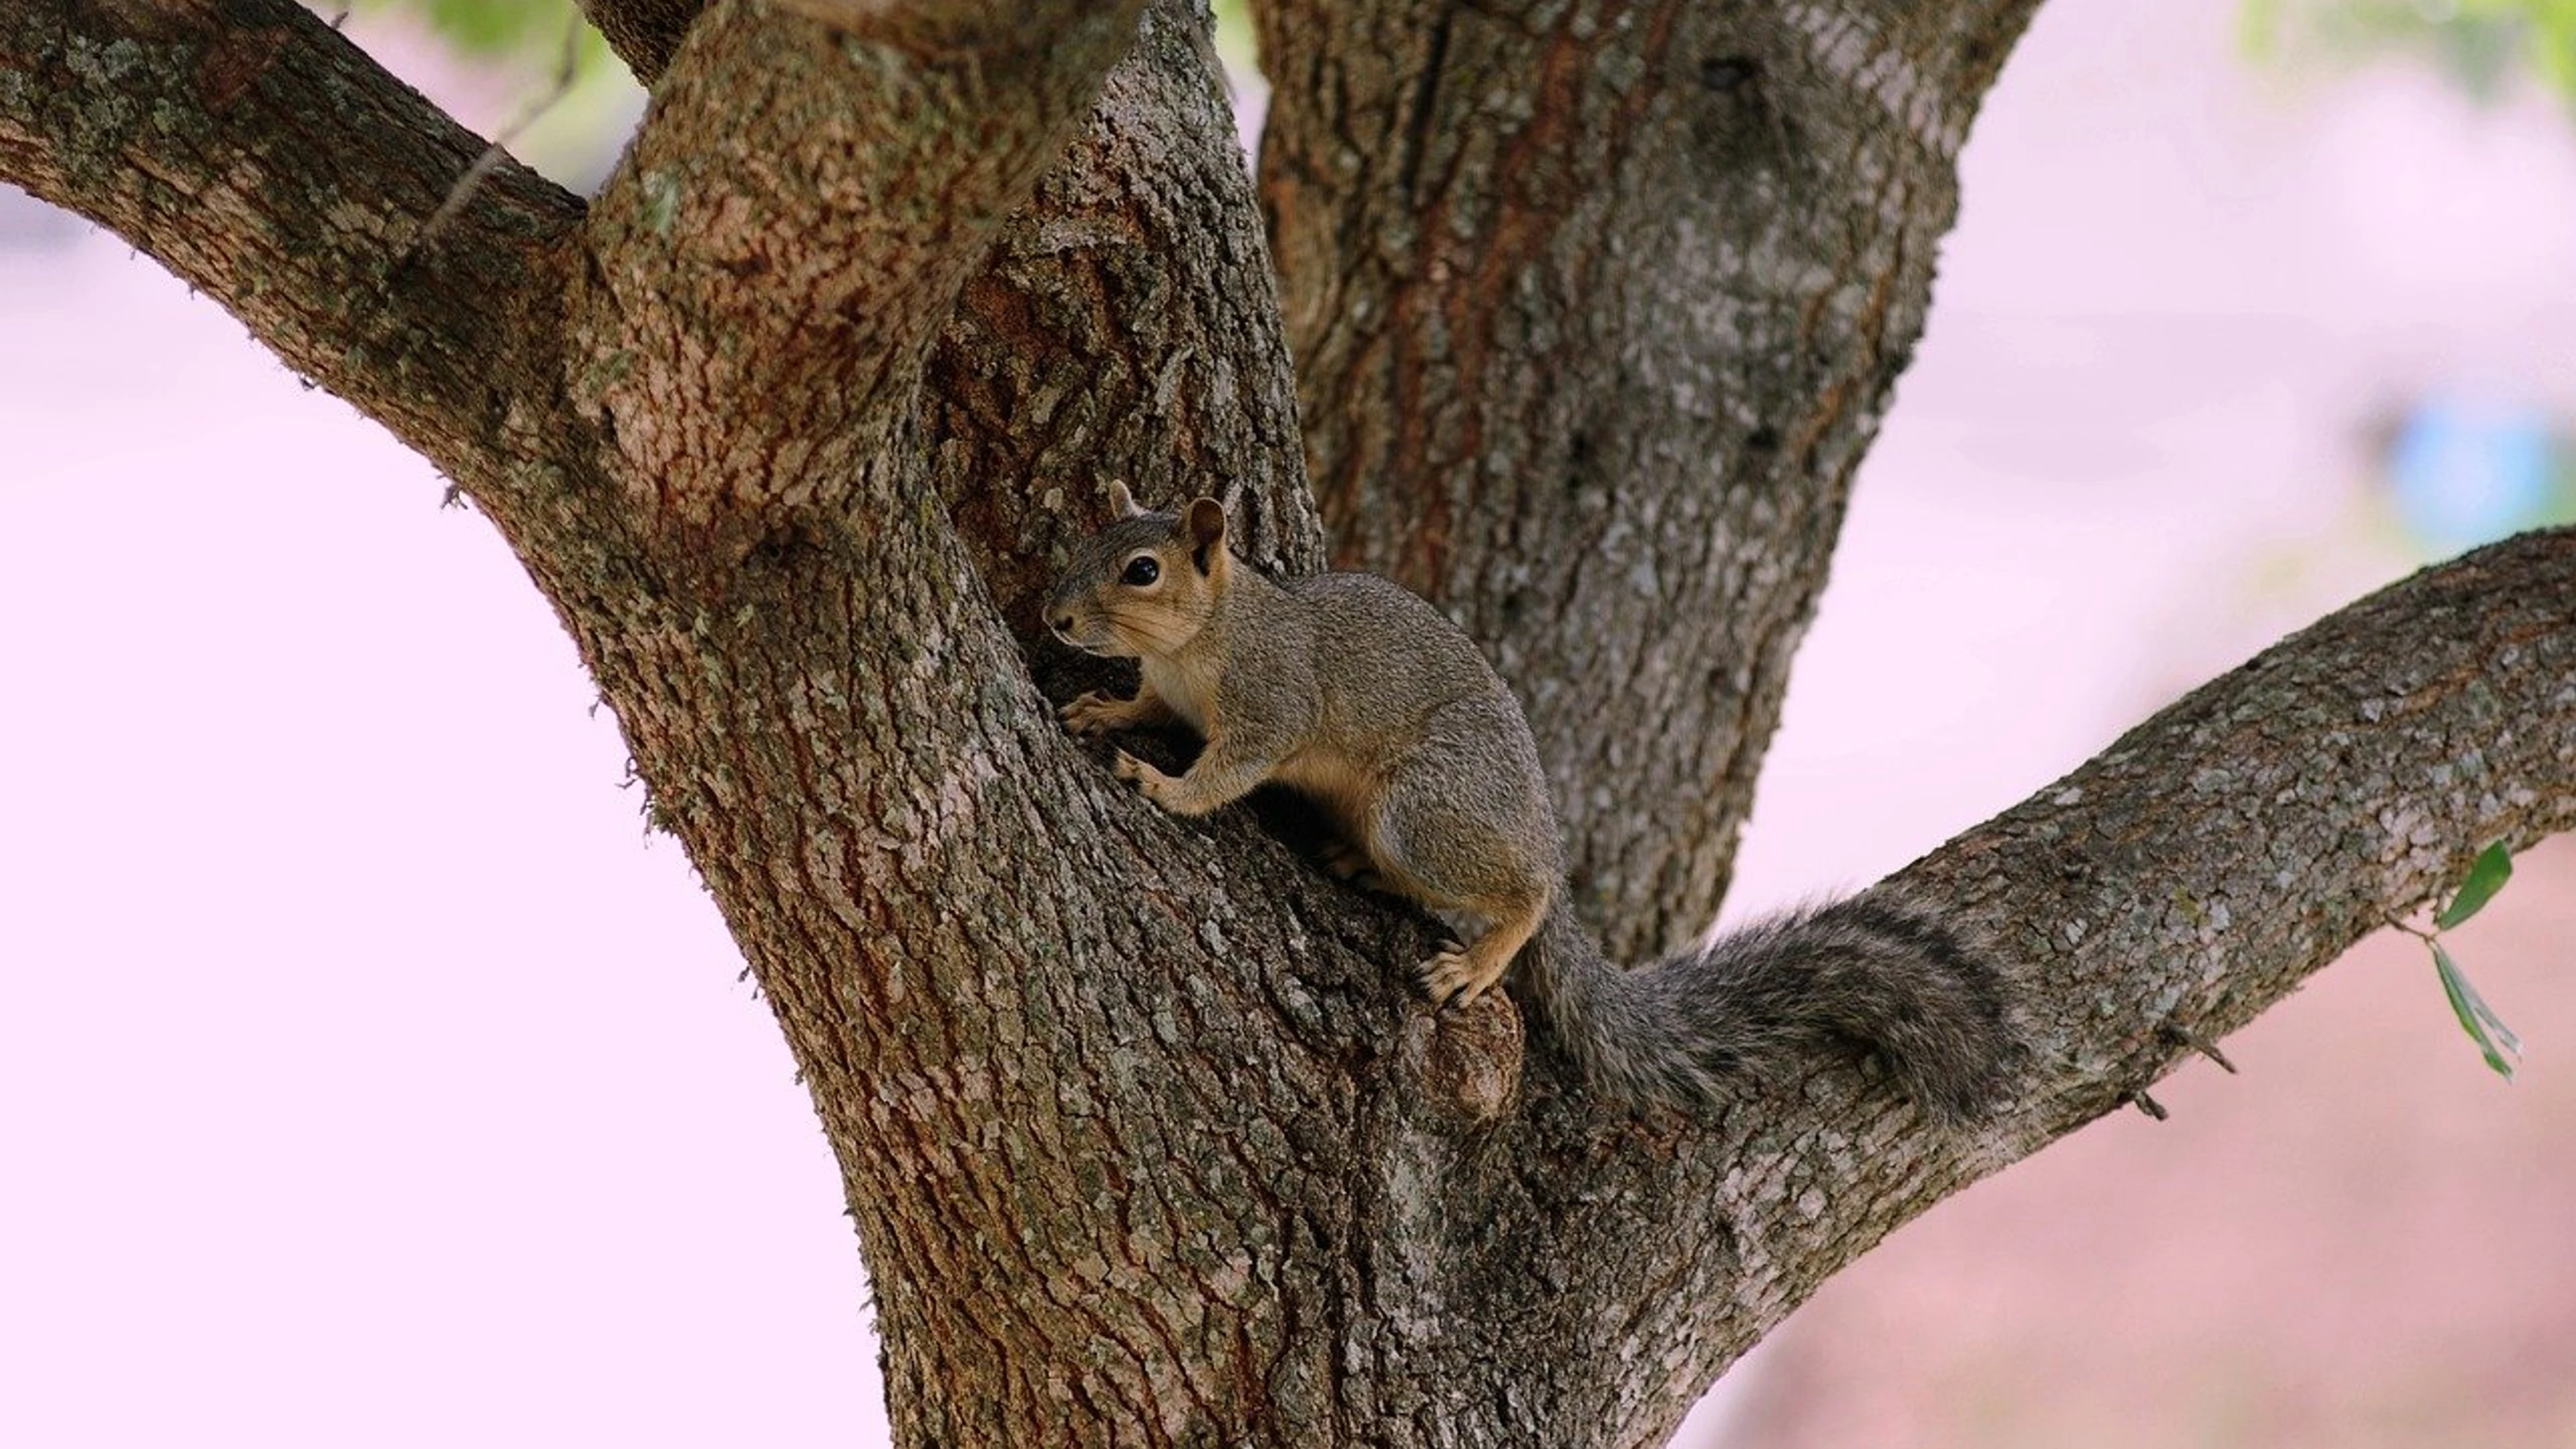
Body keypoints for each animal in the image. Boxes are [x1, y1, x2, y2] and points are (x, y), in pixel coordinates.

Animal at [1045, 485, 2013, 1124]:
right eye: (1083, 546)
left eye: (1141, 570)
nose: (1055, 618)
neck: (1202, 636)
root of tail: (1541, 831)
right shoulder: (1170, 691)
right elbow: (1145, 707)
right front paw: (1104, 710)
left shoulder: (1270, 704)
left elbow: (1227, 773)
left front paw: (1164, 786)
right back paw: (1359, 863)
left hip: (1425, 810)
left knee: (1525, 893)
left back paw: (1481, 957)